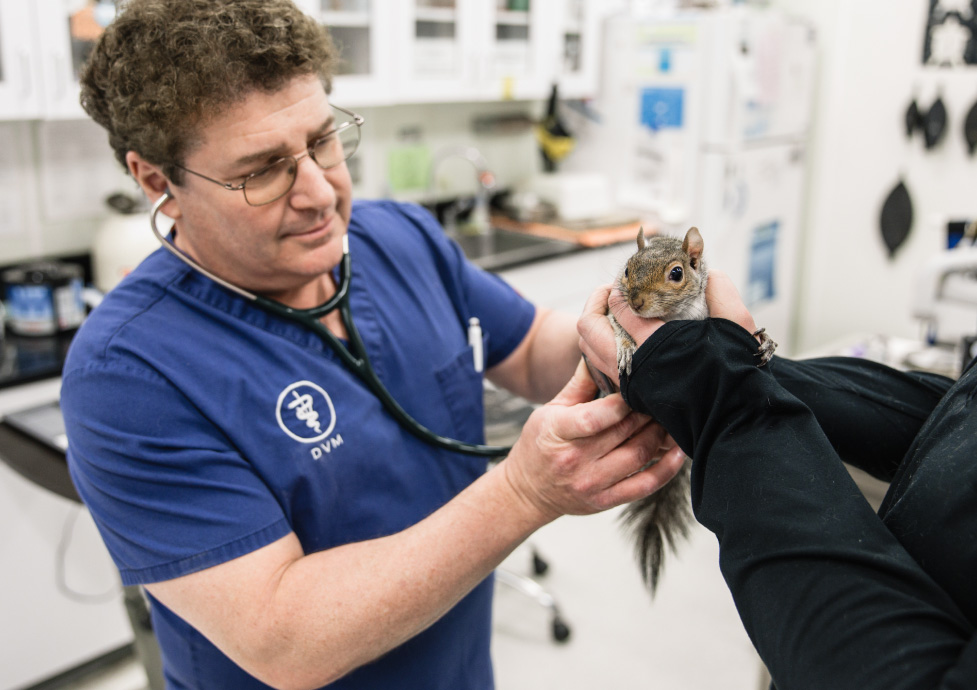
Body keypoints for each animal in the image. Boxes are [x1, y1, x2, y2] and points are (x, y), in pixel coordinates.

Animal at [605, 226, 776, 593]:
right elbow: (618, 325)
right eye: (626, 270)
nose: (636, 302)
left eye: (677, 273)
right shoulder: (610, 310)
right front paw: (626, 347)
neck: (670, 318)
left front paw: (766, 339)